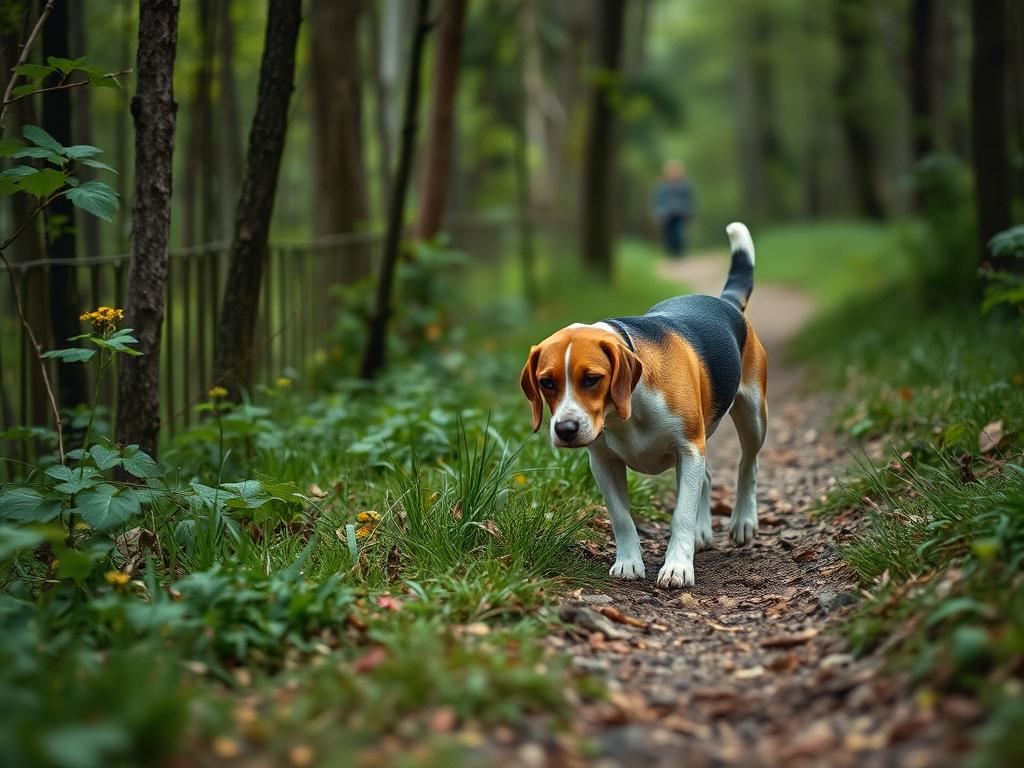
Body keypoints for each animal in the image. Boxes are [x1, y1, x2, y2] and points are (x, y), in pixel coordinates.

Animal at [520, 222, 770, 589]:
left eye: (592, 379)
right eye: (546, 383)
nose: (565, 430)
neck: (626, 411)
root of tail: (725, 302)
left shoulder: (688, 448)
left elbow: (681, 514)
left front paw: (677, 567)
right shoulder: (603, 462)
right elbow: (621, 517)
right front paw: (628, 562)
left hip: (752, 415)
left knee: (748, 464)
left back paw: (743, 521)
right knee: (708, 477)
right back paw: (703, 532)